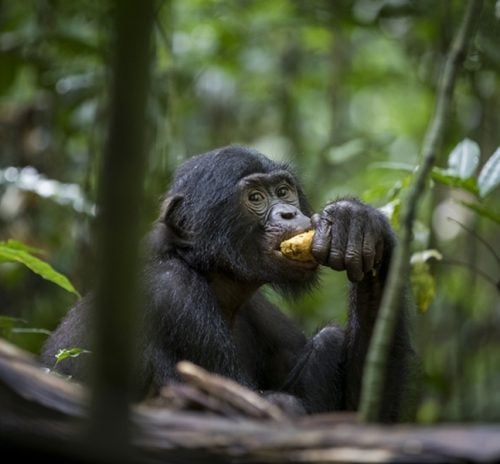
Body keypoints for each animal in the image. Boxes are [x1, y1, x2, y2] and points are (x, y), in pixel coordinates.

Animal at [41, 145, 414, 420]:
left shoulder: (262, 311)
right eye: (256, 198)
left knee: (330, 339)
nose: (289, 213)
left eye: (284, 191)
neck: (208, 271)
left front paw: (359, 223)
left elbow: (362, 416)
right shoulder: (172, 296)